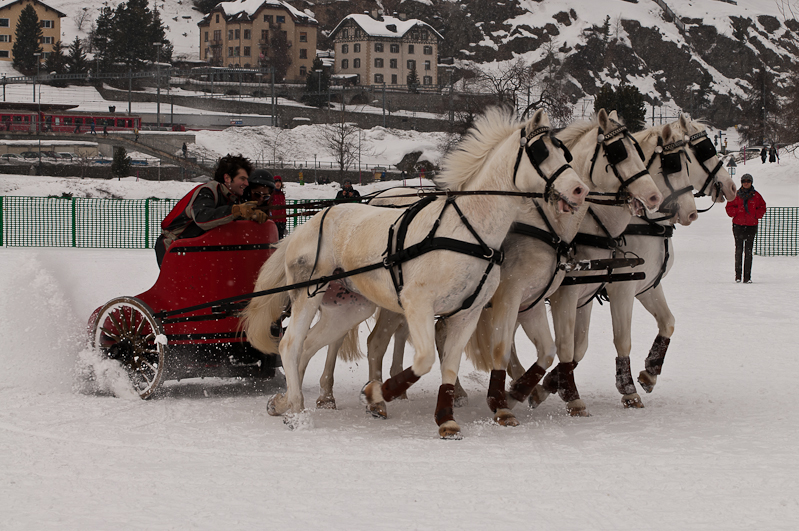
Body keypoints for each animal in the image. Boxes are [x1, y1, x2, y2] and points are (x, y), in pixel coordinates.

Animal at [242, 109, 588, 440]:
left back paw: (284, 401)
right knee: (290, 345)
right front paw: (377, 393)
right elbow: (424, 359)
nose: (580, 190)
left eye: (566, 153)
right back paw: (297, 410)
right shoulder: (418, 304)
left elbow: (449, 365)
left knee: (309, 345)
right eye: (540, 152)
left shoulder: (468, 313)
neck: (468, 231)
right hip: (308, 293)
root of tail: (307, 224)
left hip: (349, 307)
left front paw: (447, 419)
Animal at [532, 115, 736, 408]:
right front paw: (627, 389)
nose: (731, 187)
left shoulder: (645, 286)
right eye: (701, 151)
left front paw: (649, 373)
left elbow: (667, 322)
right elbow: (619, 339)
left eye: (687, 160)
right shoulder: (618, 289)